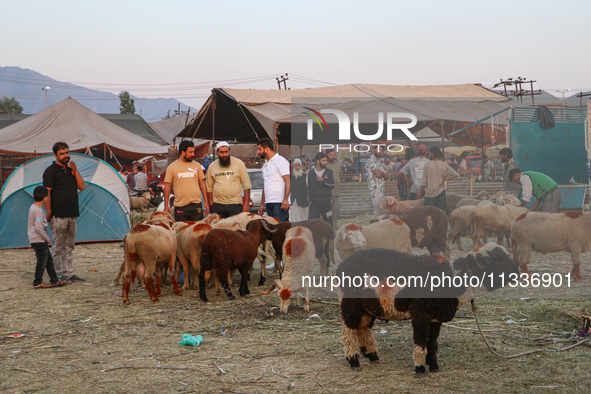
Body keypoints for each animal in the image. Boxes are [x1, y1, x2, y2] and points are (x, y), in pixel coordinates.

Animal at [338, 243, 520, 376]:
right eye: (495, 260)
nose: (517, 274)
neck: (451, 279)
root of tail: (342, 265)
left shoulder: (435, 317)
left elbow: (432, 343)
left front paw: (433, 366)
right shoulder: (421, 314)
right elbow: (422, 341)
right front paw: (420, 368)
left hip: (367, 307)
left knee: (363, 329)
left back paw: (373, 356)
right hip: (351, 304)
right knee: (349, 332)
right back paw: (354, 361)